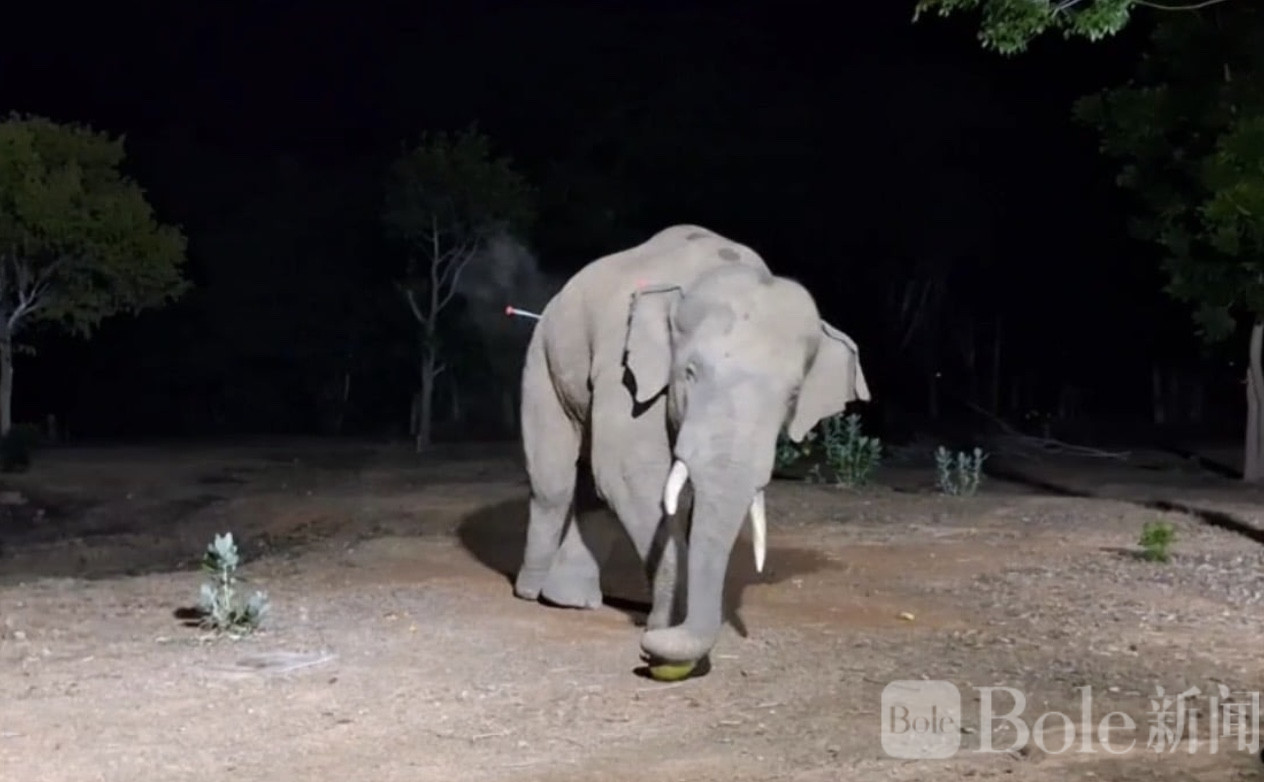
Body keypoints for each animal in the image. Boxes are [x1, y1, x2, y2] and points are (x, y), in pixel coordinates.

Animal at [513, 224, 871, 674]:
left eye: (792, 396)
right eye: (690, 372)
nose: (648, 650)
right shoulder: (623, 366)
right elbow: (630, 473)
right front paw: (665, 627)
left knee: (592, 492)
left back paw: (570, 600)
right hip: (544, 358)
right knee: (553, 483)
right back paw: (531, 593)